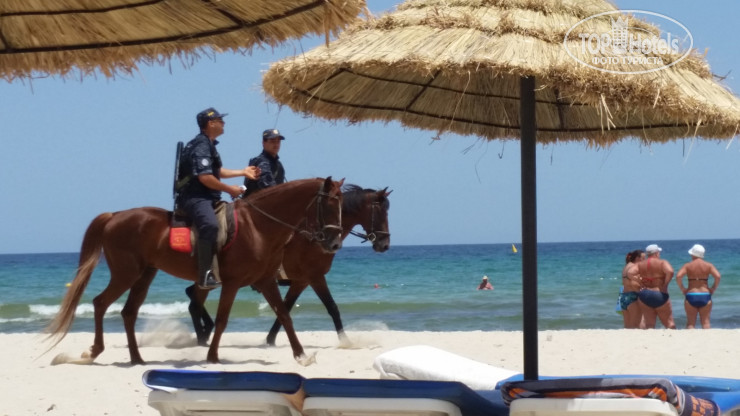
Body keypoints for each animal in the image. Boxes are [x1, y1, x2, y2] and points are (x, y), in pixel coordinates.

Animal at [45, 177, 344, 365]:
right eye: (330, 205)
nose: (334, 243)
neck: (258, 225)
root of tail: (115, 215)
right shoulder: (232, 283)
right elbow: (222, 320)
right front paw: (212, 357)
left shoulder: (266, 280)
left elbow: (284, 315)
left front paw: (301, 355)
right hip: (125, 274)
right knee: (100, 303)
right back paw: (96, 350)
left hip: (144, 275)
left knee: (128, 312)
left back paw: (137, 358)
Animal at [185, 184, 391, 347]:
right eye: (381, 212)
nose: (385, 244)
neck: (315, 239)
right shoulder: (315, 277)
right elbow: (332, 307)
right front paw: (346, 341)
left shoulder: (301, 281)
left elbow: (286, 306)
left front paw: (270, 339)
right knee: (194, 300)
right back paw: (204, 334)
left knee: (192, 295)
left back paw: (206, 330)